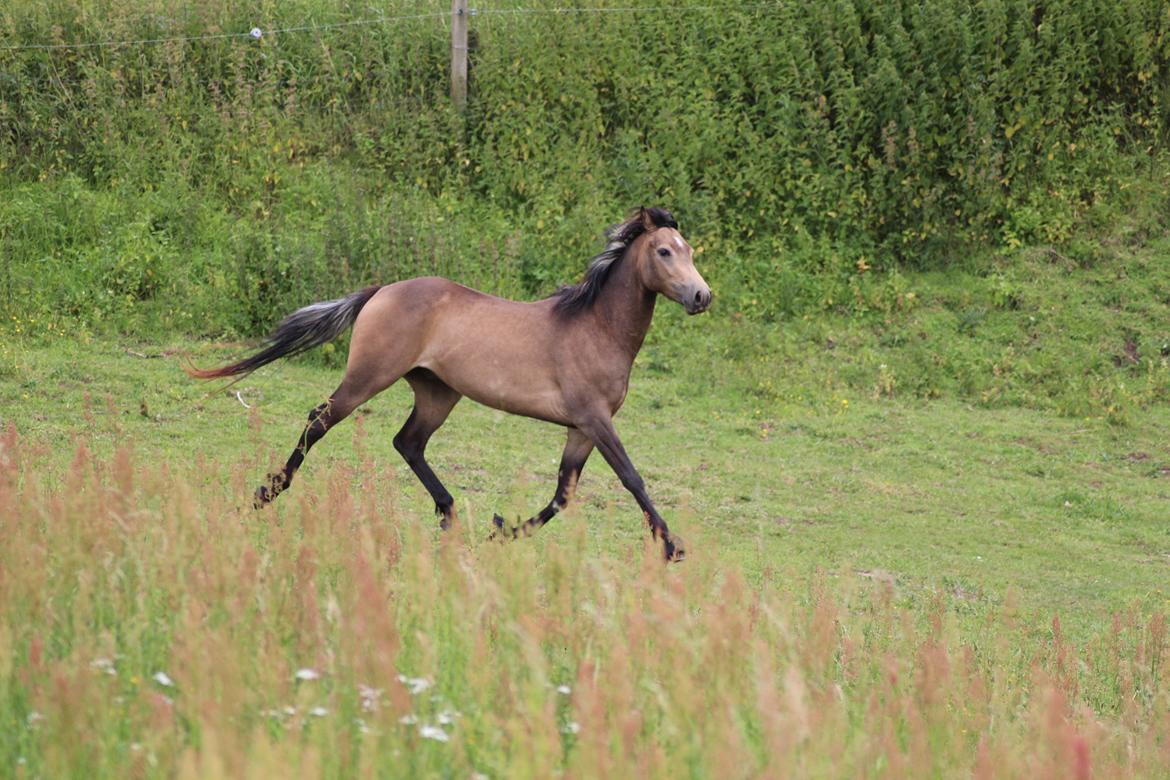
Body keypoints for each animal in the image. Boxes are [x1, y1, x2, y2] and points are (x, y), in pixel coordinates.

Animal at [189, 206, 711, 561]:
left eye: (688, 250)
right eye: (664, 251)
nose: (701, 296)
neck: (595, 328)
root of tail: (381, 290)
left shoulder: (580, 429)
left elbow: (563, 494)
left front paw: (503, 529)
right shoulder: (595, 420)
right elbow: (631, 477)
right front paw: (672, 546)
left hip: (437, 393)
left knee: (408, 442)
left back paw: (450, 515)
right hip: (369, 376)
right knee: (320, 420)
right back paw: (266, 493)